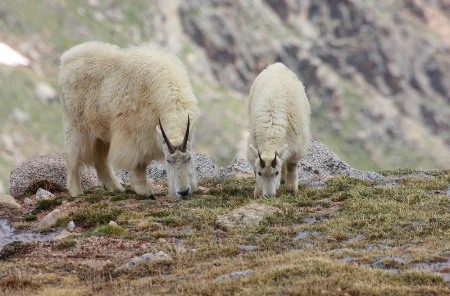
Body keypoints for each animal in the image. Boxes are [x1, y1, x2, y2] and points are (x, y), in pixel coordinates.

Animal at [59, 41, 200, 199]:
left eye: (189, 158)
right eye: (168, 160)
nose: (183, 191)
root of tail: (66, 58)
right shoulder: (135, 133)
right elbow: (140, 162)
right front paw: (144, 190)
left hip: (101, 130)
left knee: (100, 158)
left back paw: (114, 187)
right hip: (75, 125)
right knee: (72, 158)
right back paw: (76, 191)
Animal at [246, 62, 312, 197]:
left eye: (276, 172)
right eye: (260, 173)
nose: (268, 195)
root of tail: (278, 65)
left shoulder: (297, 144)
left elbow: (292, 165)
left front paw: (291, 190)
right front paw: (258, 193)